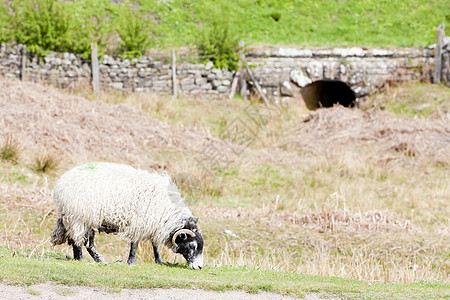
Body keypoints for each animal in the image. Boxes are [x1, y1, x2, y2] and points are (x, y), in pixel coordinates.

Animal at [50, 162, 203, 270]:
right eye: (192, 246)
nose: (199, 267)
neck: (169, 211)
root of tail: (60, 184)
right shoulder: (140, 223)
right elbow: (135, 244)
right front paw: (132, 262)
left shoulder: (155, 224)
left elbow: (155, 245)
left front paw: (159, 261)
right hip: (80, 217)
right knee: (83, 241)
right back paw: (89, 259)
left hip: (74, 218)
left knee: (79, 240)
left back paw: (85, 259)